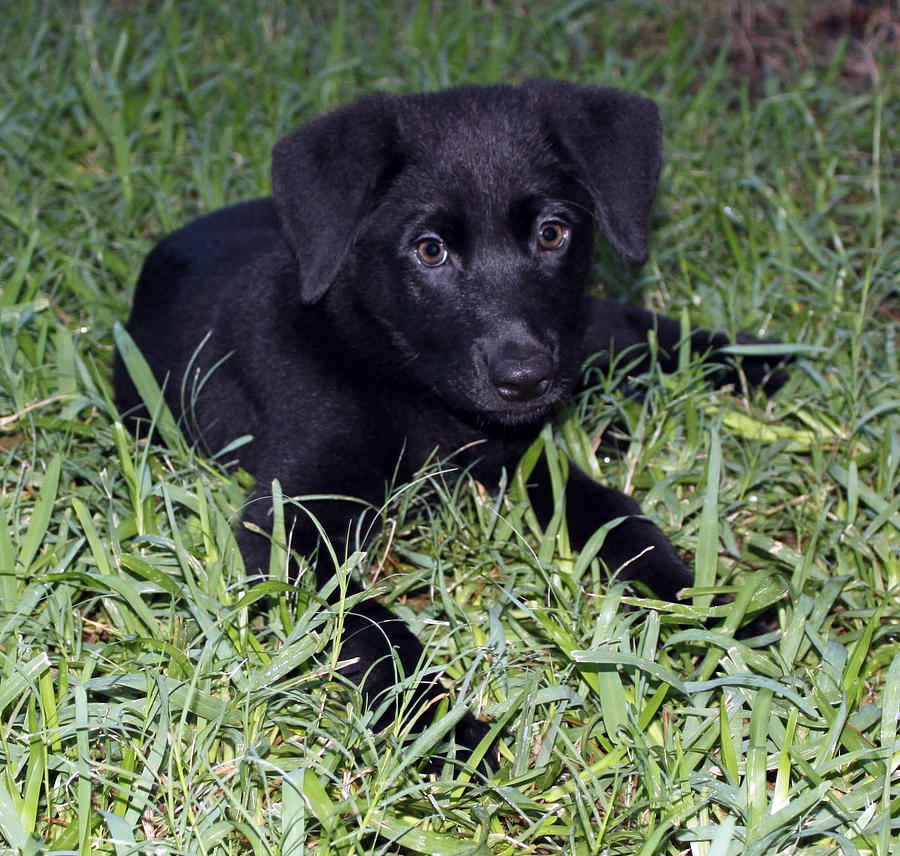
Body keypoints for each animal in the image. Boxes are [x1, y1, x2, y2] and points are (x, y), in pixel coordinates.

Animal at [114, 78, 788, 764]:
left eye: (552, 233)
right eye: (430, 250)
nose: (525, 378)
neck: (403, 378)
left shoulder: (519, 455)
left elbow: (616, 516)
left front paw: (709, 612)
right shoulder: (292, 517)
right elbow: (371, 625)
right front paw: (443, 725)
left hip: (581, 332)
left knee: (637, 326)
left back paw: (773, 361)